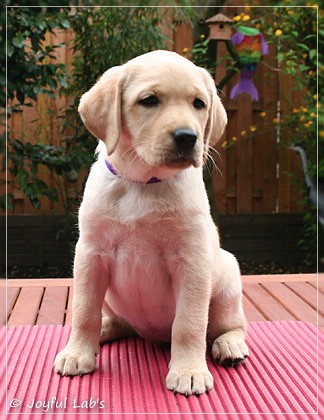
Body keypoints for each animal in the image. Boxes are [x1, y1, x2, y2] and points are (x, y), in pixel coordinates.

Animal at [54, 50, 249, 396]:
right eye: (148, 100)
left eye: (199, 103)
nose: (188, 137)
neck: (142, 182)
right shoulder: (91, 254)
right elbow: (84, 311)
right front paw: (77, 353)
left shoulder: (191, 261)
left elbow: (189, 324)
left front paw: (189, 371)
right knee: (113, 320)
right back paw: (103, 330)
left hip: (227, 279)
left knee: (230, 325)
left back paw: (229, 345)